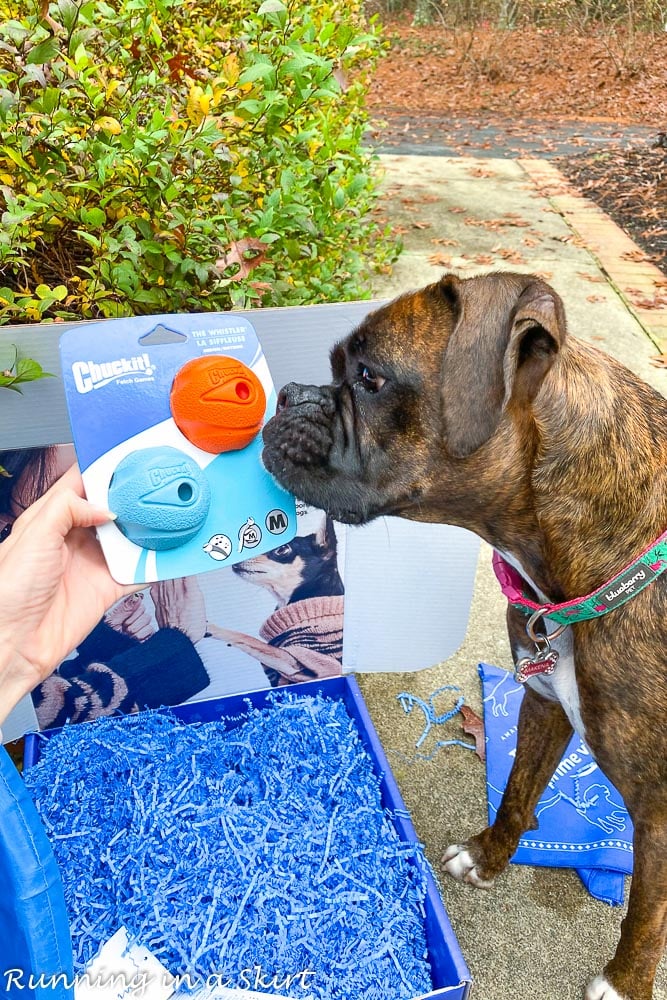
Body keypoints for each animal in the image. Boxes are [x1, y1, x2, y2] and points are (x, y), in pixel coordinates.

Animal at [260, 274, 667, 1000]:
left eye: (368, 378)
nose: (289, 395)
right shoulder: (542, 702)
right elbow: (517, 791)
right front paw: (485, 856)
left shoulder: (660, 811)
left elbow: (645, 914)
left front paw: (624, 983)